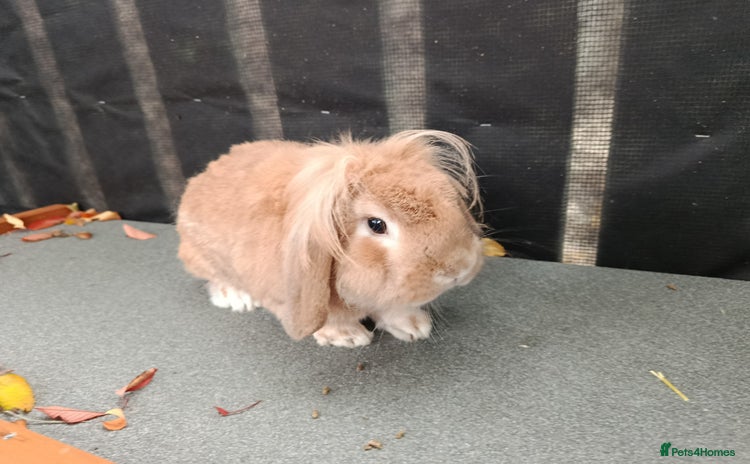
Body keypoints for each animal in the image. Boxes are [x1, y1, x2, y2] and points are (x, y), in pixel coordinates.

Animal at [176, 130, 485, 348]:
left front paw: (414, 326)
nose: (460, 268)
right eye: (376, 224)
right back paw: (237, 298)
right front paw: (348, 337)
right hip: (203, 255)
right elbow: (333, 318)